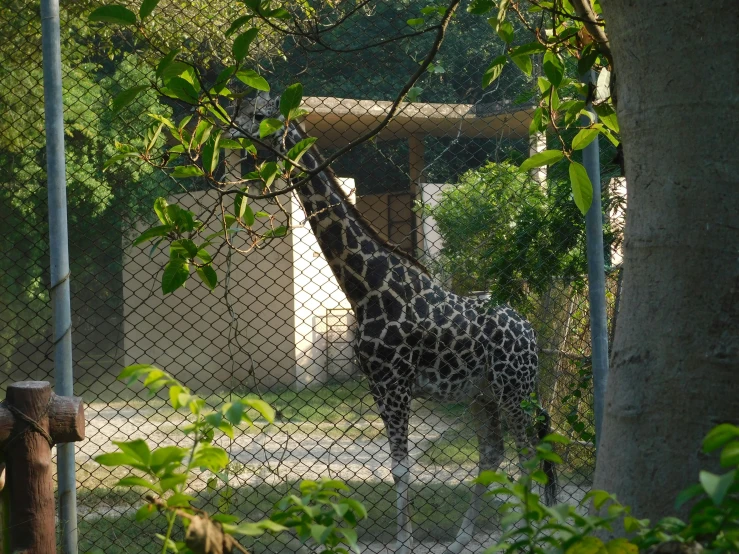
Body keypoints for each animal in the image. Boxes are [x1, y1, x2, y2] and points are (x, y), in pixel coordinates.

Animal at [231, 92, 556, 548]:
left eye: (259, 113)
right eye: (241, 107)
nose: (230, 130)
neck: (366, 288)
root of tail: (529, 330)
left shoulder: (394, 383)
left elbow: (402, 467)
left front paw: (405, 542)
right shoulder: (377, 385)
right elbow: (398, 465)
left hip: (513, 387)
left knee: (529, 453)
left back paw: (532, 534)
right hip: (484, 393)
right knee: (494, 453)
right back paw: (463, 540)